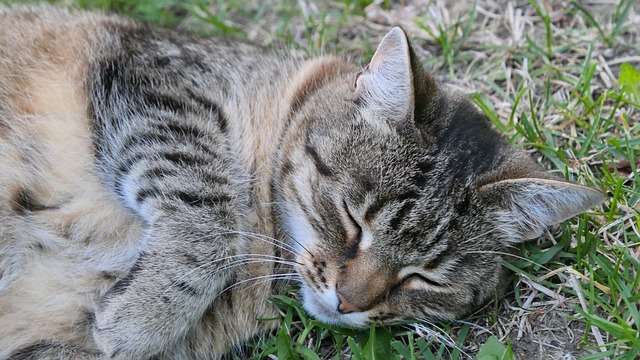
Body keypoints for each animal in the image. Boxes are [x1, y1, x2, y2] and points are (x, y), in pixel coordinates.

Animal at [0, 3, 604, 360]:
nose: (347, 302)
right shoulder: (153, 78)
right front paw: (142, 317)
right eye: (353, 219)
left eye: (425, 277)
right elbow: (212, 219)